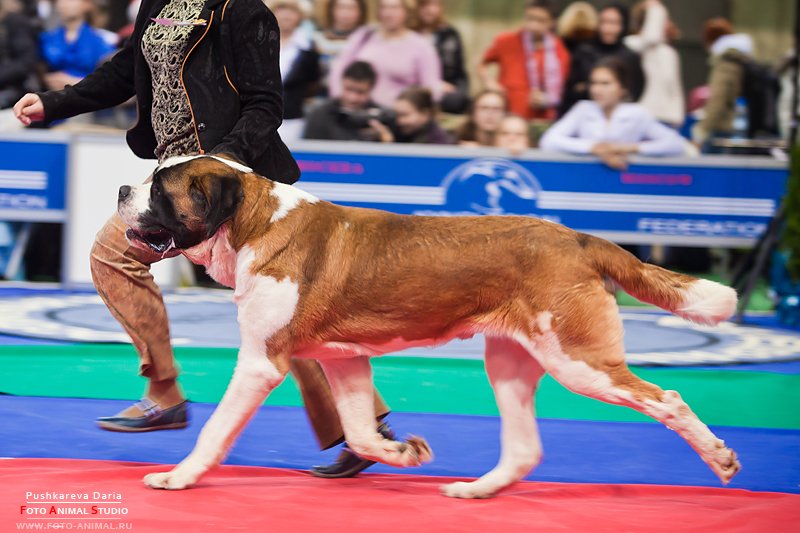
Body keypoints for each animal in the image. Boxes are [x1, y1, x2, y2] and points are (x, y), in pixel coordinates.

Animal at [115, 155, 740, 498]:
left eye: (160, 189)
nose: (121, 188)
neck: (252, 220)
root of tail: (580, 238)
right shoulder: (344, 359)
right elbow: (361, 431)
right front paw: (403, 453)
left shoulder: (260, 362)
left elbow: (217, 428)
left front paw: (178, 477)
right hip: (511, 360)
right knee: (524, 448)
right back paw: (476, 491)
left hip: (578, 360)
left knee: (666, 398)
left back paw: (719, 456)